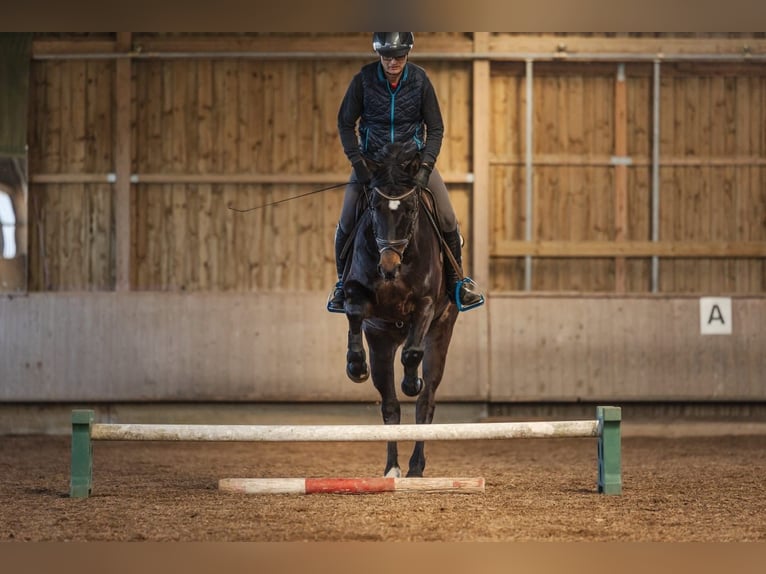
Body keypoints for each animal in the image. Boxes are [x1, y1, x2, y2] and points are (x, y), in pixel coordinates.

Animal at [341, 141, 459, 478]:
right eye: (373, 208)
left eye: (409, 210)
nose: (388, 267)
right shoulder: (360, 299)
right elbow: (354, 312)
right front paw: (356, 366)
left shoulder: (427, 306)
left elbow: (412, 354)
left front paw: (411, 381)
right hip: (382, 342)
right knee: (390, 406)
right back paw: (391, 469)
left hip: (441, 333)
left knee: (425, 401)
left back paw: (415, 468)